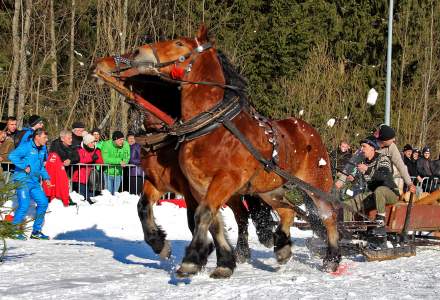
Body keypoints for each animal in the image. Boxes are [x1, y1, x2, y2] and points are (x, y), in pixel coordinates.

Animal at [91, 58, 274, 262]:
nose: (98, 64)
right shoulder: (156, 182)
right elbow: (143, 207)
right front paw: (159, 244)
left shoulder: (190, 189)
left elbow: (193, 219)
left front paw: (203, 250)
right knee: (241, 213)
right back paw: (243, 251)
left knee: (245, 211)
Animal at [124, 25, 340, 278]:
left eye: (179, 43)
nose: (138, 51)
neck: (212, 127)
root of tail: (309, 130)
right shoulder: (193, 186)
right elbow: (208, 219)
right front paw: (223, 261)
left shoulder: (223, 180)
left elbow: (202, 215)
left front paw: (192, 259)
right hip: (269, 189)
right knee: (287, 212)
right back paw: (282, 248)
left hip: (317, 184)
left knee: (329, 216)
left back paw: (332, 259)